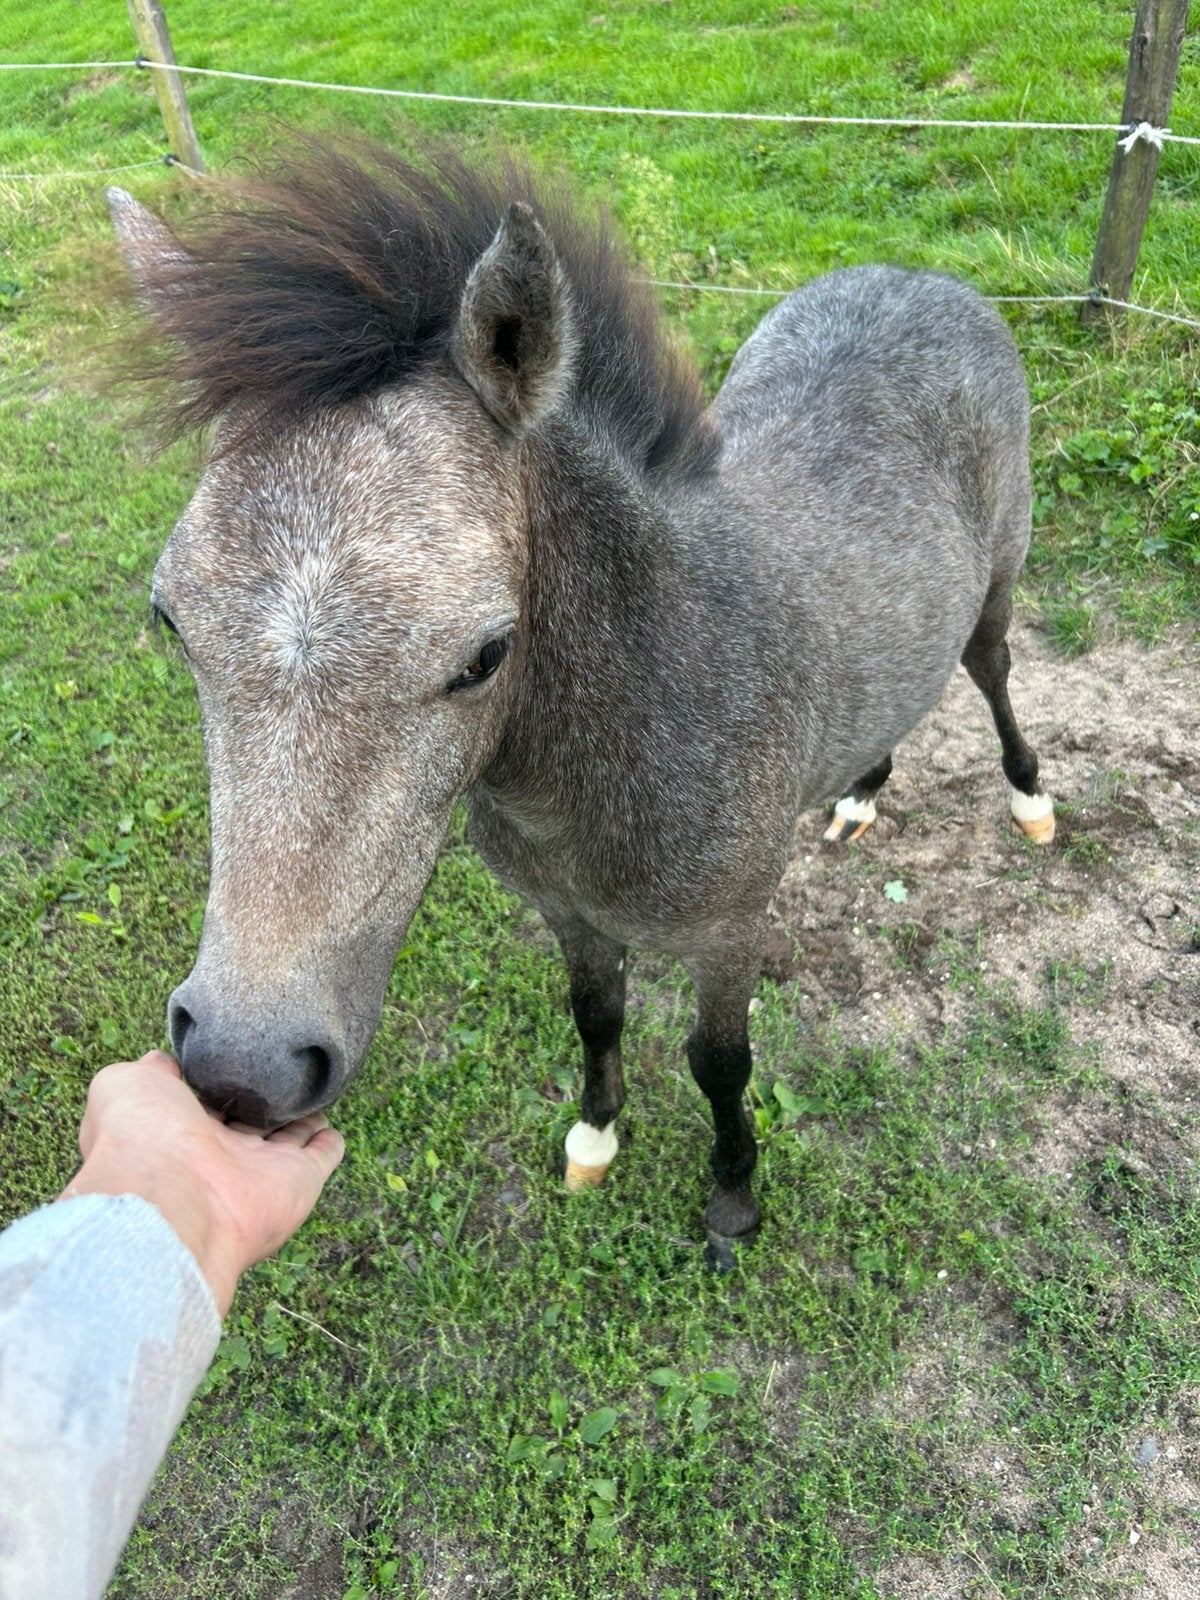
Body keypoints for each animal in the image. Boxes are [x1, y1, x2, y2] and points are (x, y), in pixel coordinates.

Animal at [108, 140, 1054, 1267]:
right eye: (170, 618)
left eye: (486, 654)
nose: (243, 1069)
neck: (658, 701)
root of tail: (923, 277)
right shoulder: (569, 916)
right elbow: (595, 1017)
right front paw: (596, 1140)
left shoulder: (731, 931)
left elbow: (719, 1063)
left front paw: (732, 1200)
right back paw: (861, 792)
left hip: (996, 589)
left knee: (993, 670)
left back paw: (1033, 800)